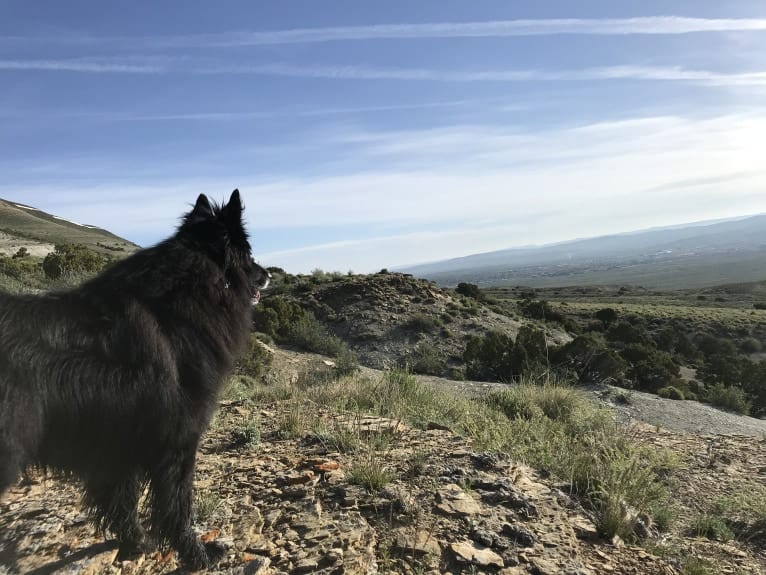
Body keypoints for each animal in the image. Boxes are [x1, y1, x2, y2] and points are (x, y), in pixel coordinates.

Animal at [0, 190, 270, 572]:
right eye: (248, 254)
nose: (268, 275)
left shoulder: (118, 447)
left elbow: (122, 503)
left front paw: (135, 543)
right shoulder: (177, 442)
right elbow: (177, 508)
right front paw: (198, 554)